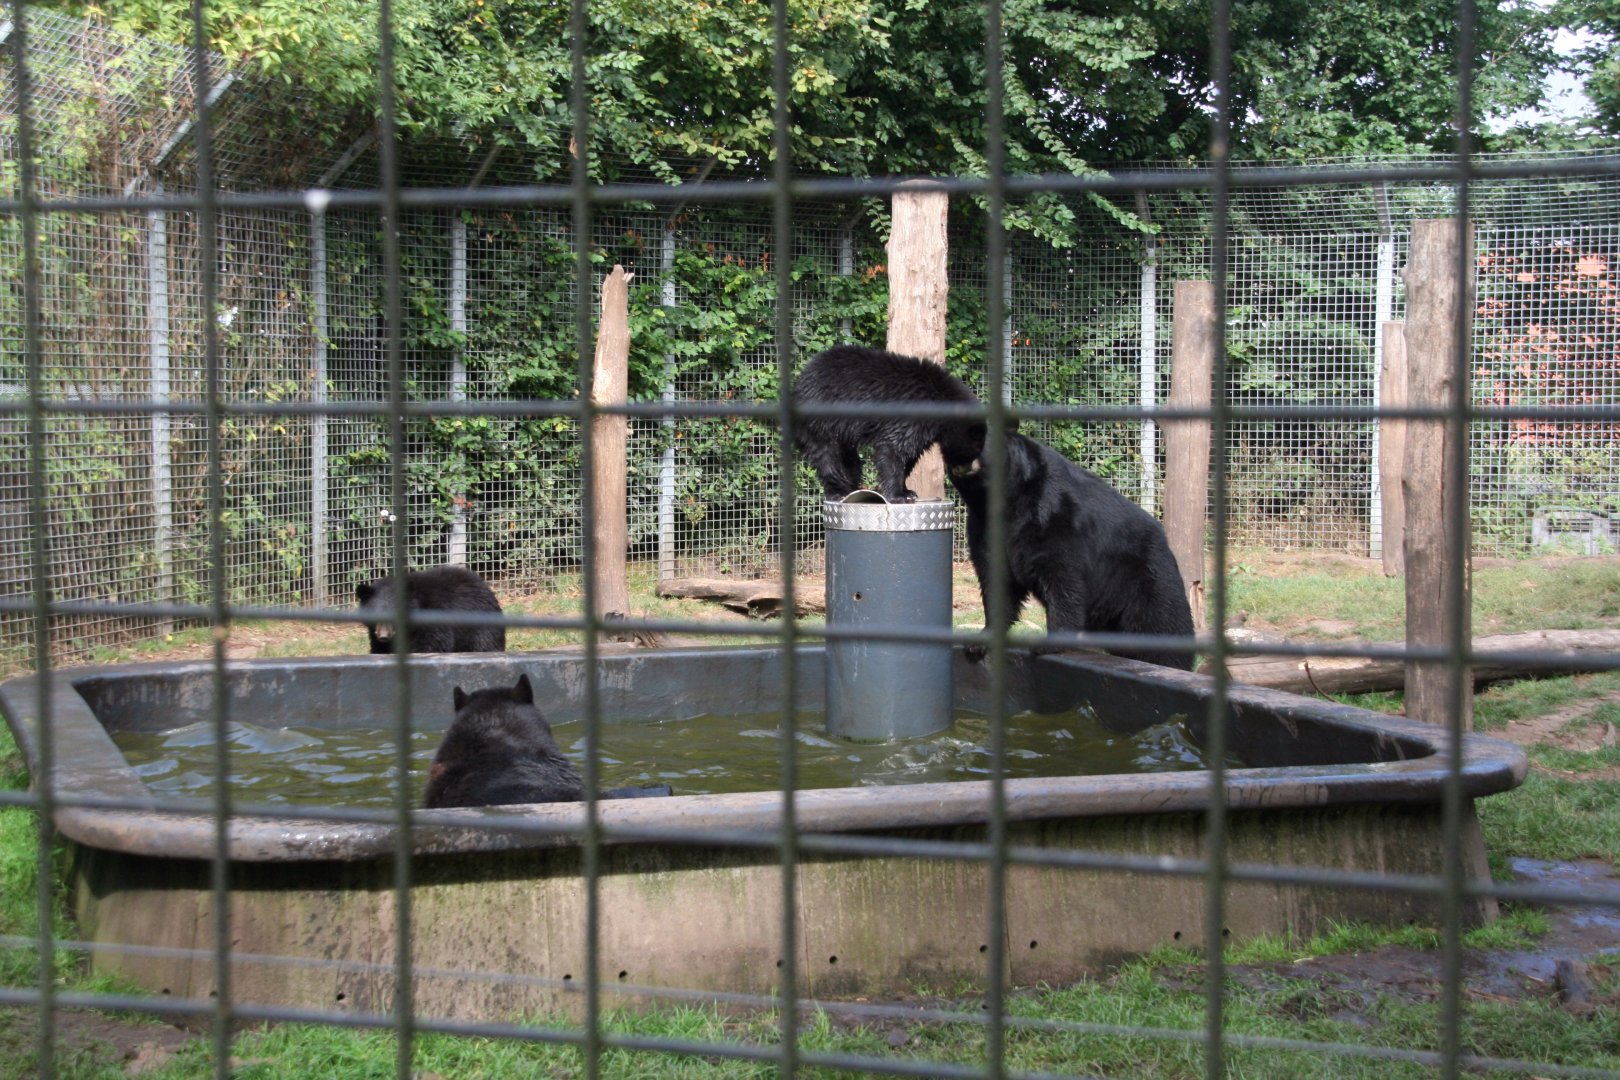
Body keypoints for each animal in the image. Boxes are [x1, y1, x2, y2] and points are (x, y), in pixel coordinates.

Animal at [356, 564, 505, 655]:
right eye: (375, 615)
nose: (384, 636)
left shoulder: (434, 617)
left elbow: (432, 644)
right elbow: (379, 649)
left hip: (480, 626)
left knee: (485, 644)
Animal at [792, 344, 985, 503]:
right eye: (974, 447)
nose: (964, 471)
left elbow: (910, 456)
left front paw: (908, 491)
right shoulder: (910, 416)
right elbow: (893, 449)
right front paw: (898, 495)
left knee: (849, 459)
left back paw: (852, 487)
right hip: (820, 419)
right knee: (826, 454)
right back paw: (838, 491)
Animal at [947, 432, 1196, 670]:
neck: (1010, 498)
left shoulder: (1054, 515)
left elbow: (1062, 577)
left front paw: (1049, 643)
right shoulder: (984, 527)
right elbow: (996, 579)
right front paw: (979, 642)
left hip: (1148, 584)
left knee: (1161, 630)